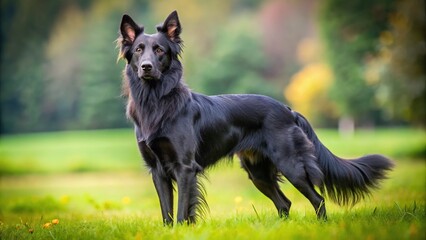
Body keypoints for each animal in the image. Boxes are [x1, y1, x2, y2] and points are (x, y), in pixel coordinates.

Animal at [116, 10, 392, 225]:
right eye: (139, 50)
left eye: (160, 50)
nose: (146, 67)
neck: (156, 101)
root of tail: (288, 110)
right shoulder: (157, 170)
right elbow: (167, 213)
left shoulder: (185, 168)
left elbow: (183, 211)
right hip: (258, 172)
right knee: (285, 203)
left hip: (291, 165)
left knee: (318, 199)